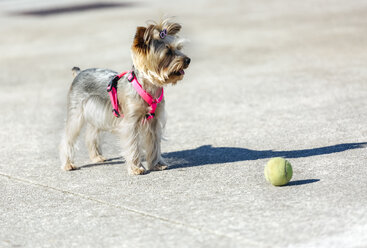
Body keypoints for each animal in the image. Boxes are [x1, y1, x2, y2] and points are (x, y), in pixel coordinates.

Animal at [59, 18, 191, 174]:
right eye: (168, 52)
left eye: (179, 48)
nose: (188, 60)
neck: (149, 86)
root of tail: (78, 73)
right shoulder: (130, 123)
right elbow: (133, 145)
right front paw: (136, 168)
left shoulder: (153, 122)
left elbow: (154, 144)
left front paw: (157, 164)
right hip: (76, 113)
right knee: (68, 137)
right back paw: (68, 164)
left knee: (91, 134)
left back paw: (97, 157)